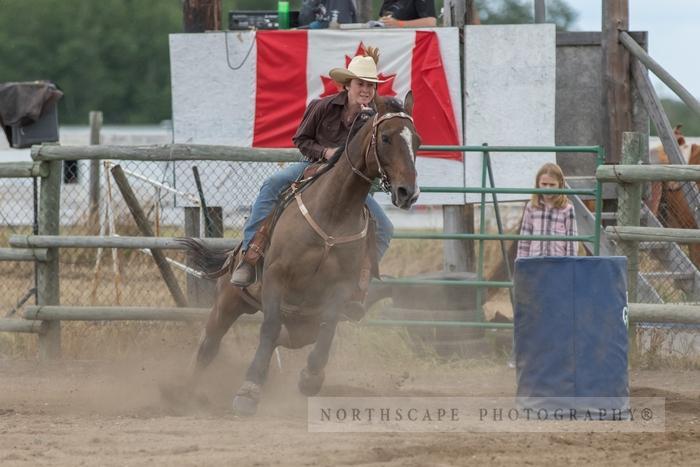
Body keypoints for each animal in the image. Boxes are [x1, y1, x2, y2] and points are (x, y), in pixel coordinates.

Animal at [183, 93, 418, 414]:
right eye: (385, 137)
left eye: (417, 141)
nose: (408, 193)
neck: (333, 212)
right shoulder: (275, 276)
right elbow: (268, 328)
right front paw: (249, 390)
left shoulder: (340, 287)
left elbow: (328, 329)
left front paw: (310, 378)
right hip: (229, 301)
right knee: (210, 345)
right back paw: (183, 394)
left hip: (303, 321)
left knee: (290, 336)